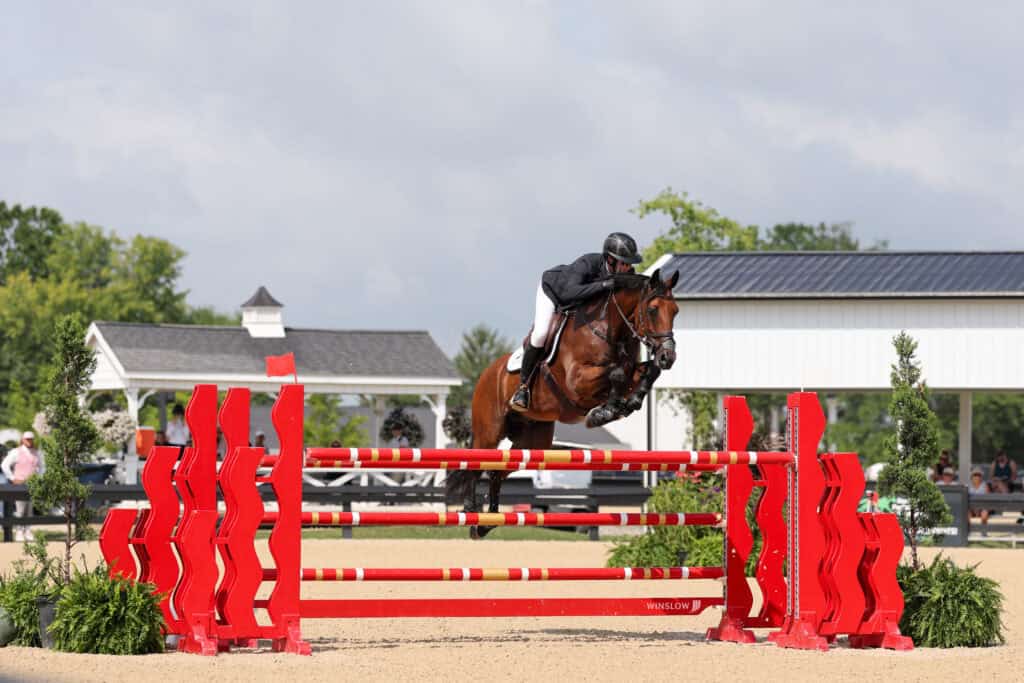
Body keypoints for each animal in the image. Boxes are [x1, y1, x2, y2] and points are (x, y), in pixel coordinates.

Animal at [447, 268, 681, 538]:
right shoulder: (576, 382)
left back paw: (488, 521)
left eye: (675, 311)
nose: (668, 357)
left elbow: (646, 371)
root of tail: (486, 374)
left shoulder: (632, 369)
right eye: (653, 309)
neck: (611, 330)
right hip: (489, 432)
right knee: (475, 464)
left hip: (534, 440)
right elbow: (616, 374)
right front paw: (604, 413)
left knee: (497, 471)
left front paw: (628, 402)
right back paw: (470, 513)